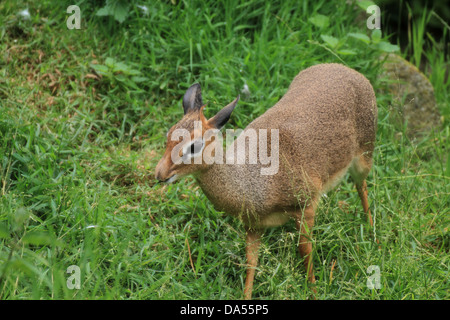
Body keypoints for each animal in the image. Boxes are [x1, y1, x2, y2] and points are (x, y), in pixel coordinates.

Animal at [155, 63, 376, 300]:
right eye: (169, 135)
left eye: (194, 146)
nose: (160, 174)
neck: (253, 180)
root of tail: (345, 69)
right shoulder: (253, 225)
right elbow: (251, 262)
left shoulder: (305, 207)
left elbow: (306, 251)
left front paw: (314, 291)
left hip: (363, 158)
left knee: (362, 187)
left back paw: (373, 235)